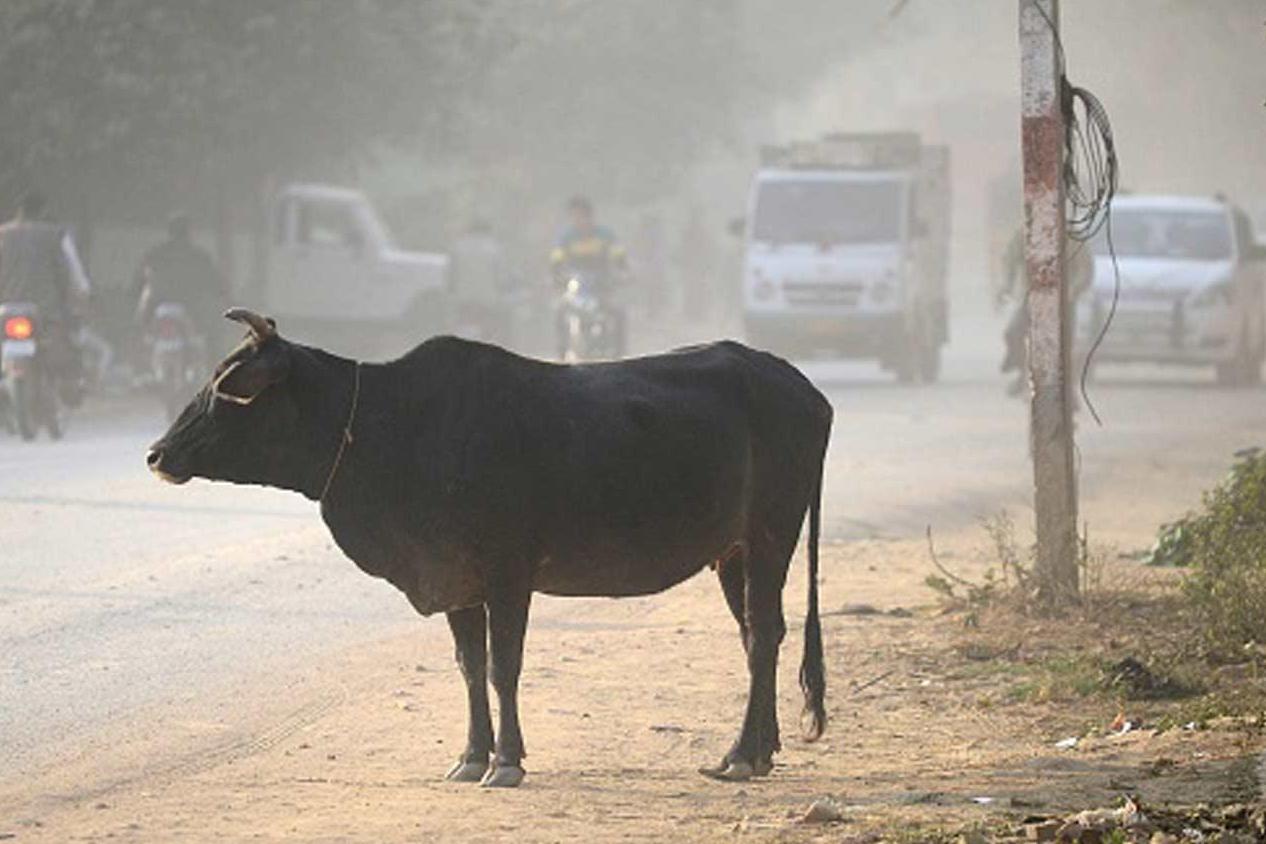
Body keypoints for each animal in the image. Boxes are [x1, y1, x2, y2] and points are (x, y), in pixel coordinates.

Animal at [147, 309, 833, 788]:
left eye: (228, 386)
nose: (156, 453)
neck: (383, 427)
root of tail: (806, 389)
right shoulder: (457, 582)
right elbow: (470, 667)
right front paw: (472, 756)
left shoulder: (507, 575)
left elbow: (504, 668)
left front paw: (507, 761)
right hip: (732, 552)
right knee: (759, 634)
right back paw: (758, 750)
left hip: (771, 535)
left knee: (764, 634)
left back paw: (742, 753)